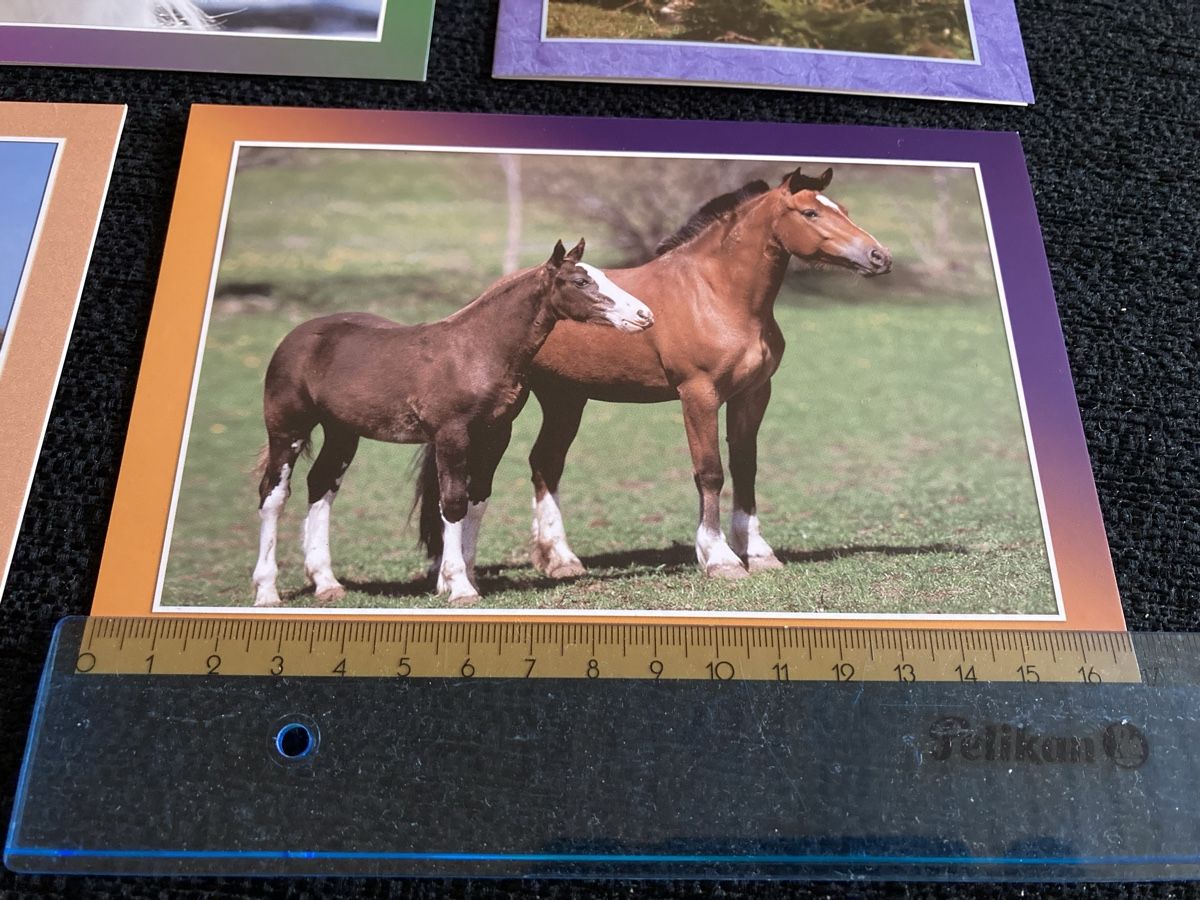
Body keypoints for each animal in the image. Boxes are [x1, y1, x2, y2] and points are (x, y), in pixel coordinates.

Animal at [252, 239, 654, 608]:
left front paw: (467, 578)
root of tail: (295, 337)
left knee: (321, 486)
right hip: (287, 429)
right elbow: (453, 503)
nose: (644, 314)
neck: (476, 351)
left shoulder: (495, 435)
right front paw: (459, 587)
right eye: (580, 281)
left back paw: (326, 583)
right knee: (274, 495)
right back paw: (267, 592)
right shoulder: (451, 436)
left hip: (342, 432)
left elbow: (477, 501)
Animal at [521, 166, 892, 580]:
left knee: (546, 463)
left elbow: (744, 467)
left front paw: (757, 552)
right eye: (810, 213)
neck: (715, 294)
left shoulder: (753, 394)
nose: (879, 256)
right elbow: (710, 471)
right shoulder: (699, 394)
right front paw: (719, 557)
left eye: (843, 209)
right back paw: (560, 558)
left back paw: (555, 559)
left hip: (565, 398)